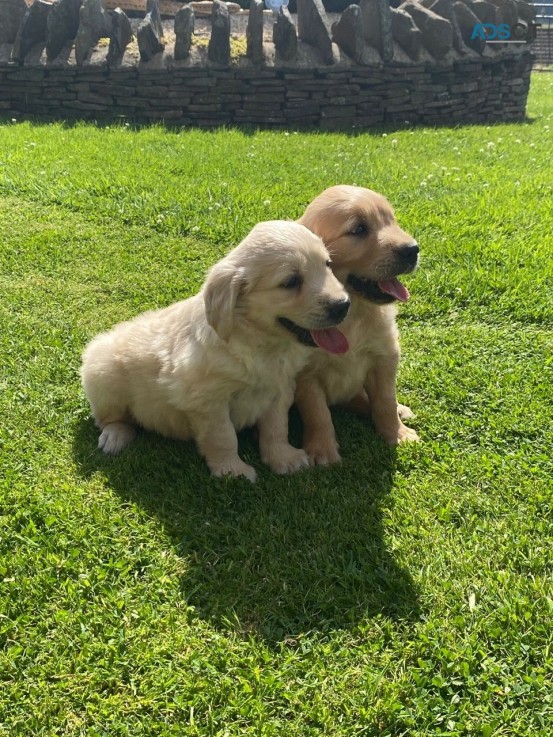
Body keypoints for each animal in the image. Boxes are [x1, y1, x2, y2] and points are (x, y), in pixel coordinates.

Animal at [81, 221, 350, 480]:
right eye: (291, 281)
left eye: (327, 265)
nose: (343, 305)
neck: (260, 343)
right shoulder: (208, 400)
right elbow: (224, 437)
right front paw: (232, 471)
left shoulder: (280, 387)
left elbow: (276, 426)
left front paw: (283, 458)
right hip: (101, 373)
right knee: (110, 419)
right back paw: (114, 436)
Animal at [294, 184, 418, 462]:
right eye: (359, 229)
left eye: (391, 220)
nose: (413, 249)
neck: (353, 314)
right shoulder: (305, 373)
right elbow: (317, 413)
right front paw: (322, 450)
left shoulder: (385, 355)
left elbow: (385, 400)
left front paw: (398, 434)